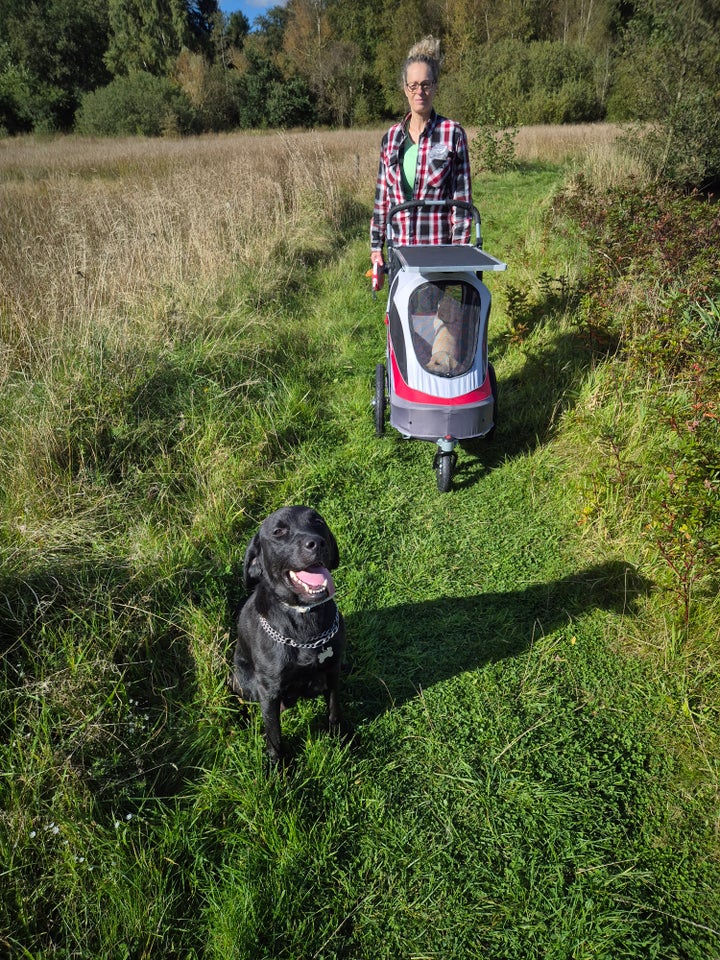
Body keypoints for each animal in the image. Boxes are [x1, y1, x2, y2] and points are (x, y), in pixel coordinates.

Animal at [229, 506, 344, 760]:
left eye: (318, 521)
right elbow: (274, 736)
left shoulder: (333, 671)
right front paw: (276, 765)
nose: (317, 543)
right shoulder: (269, 692)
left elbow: (334, 709)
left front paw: (343, 739)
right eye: (278, 531)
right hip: (243, 681)